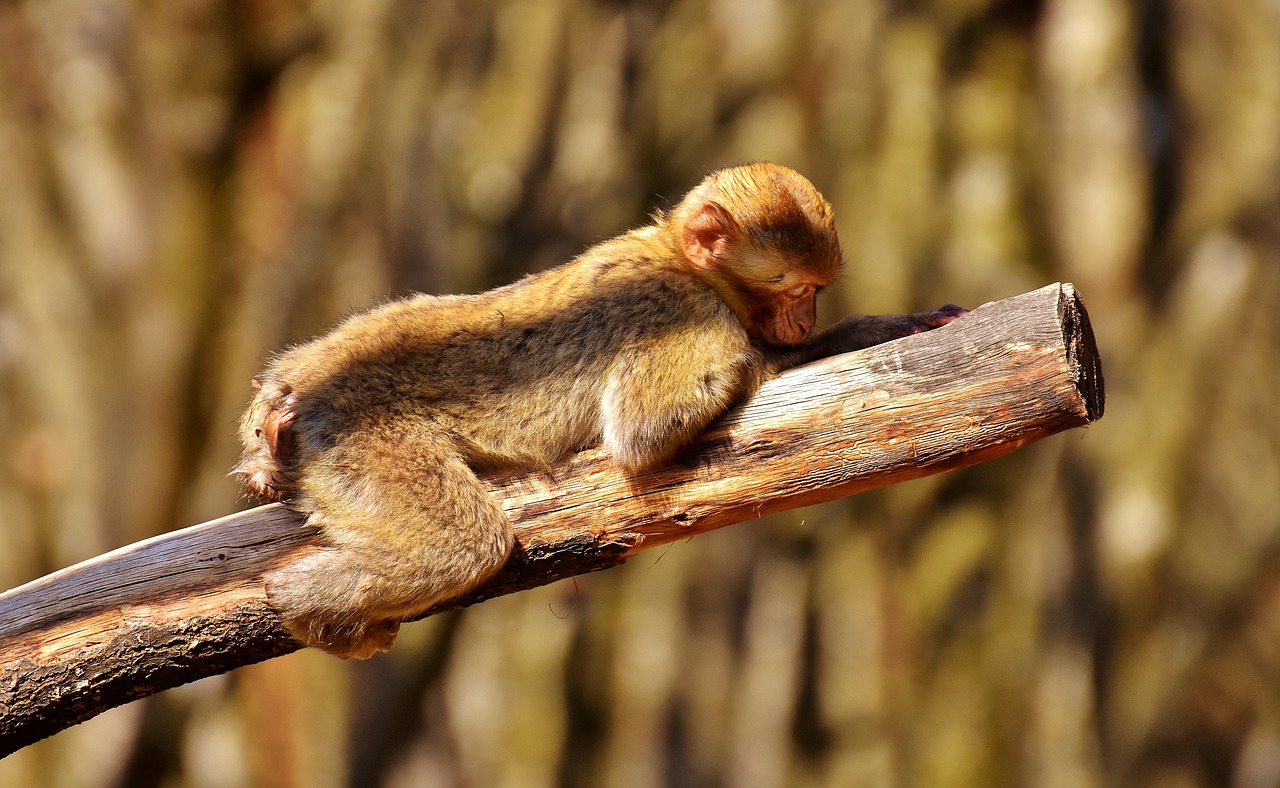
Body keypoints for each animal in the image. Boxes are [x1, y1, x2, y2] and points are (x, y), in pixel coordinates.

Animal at [235, 161, 962, 660]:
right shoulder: (683, 310)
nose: (803, 319)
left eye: (816, 291)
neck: (679, 259)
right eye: (791, 287)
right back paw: (299, 598)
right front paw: (786, 353)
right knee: (464, 545)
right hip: (362, 437)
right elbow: (646, 428)